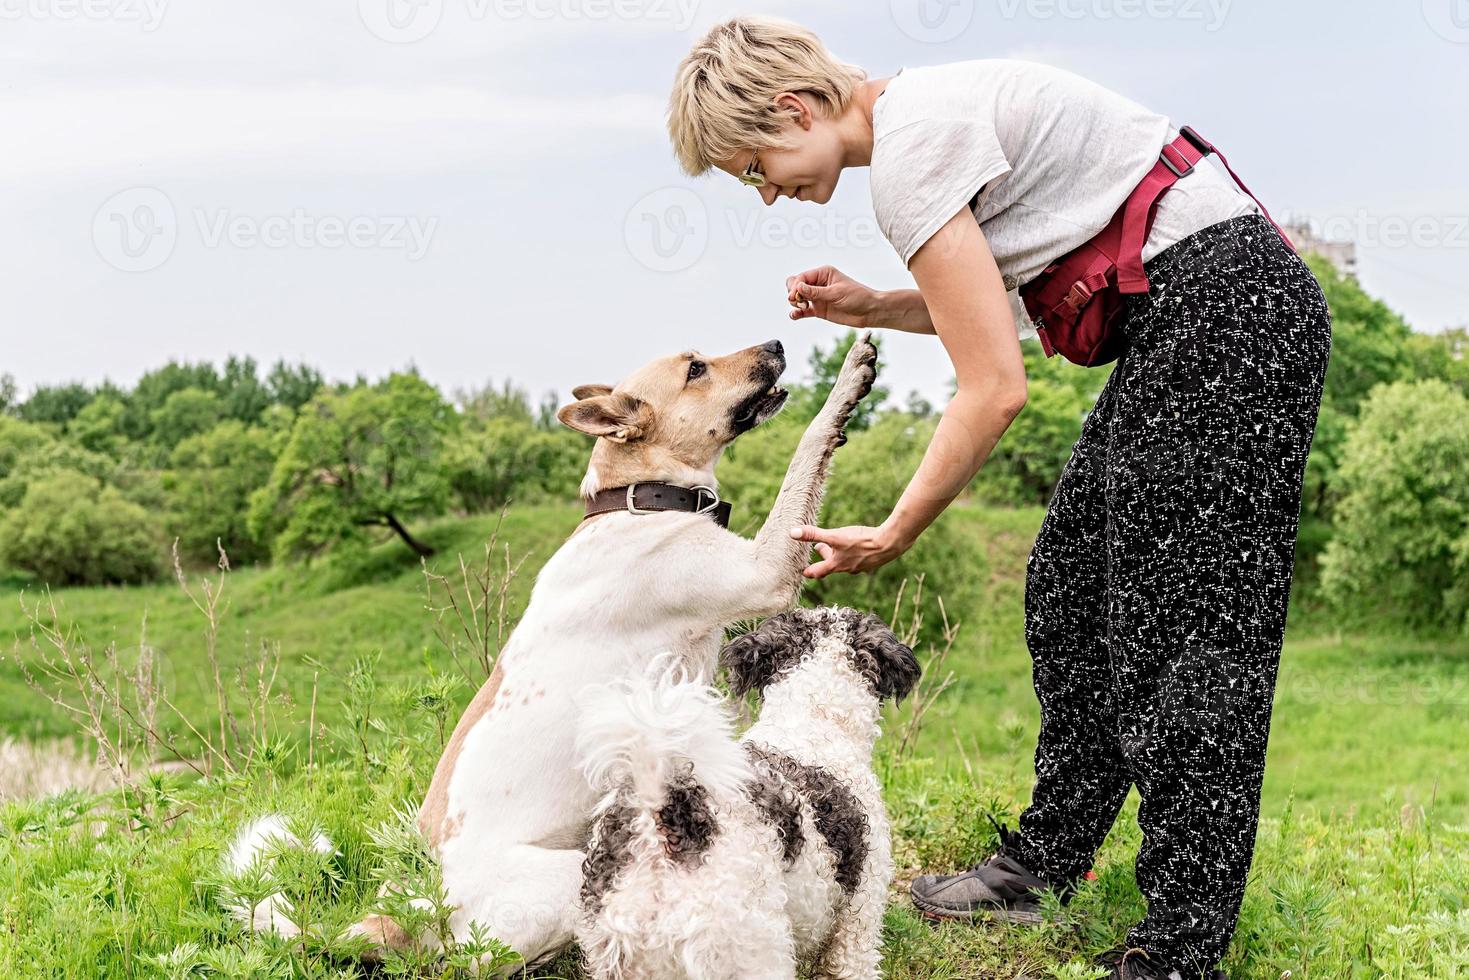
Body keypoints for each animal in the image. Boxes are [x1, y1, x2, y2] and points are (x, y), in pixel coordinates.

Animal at [227, 333, 869, 969]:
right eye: (695, 369)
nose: (778, 341)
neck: (635, 503)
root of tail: (401, 916)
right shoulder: (764, 572)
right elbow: (806, 448)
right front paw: (846, 385)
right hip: (564, 882)